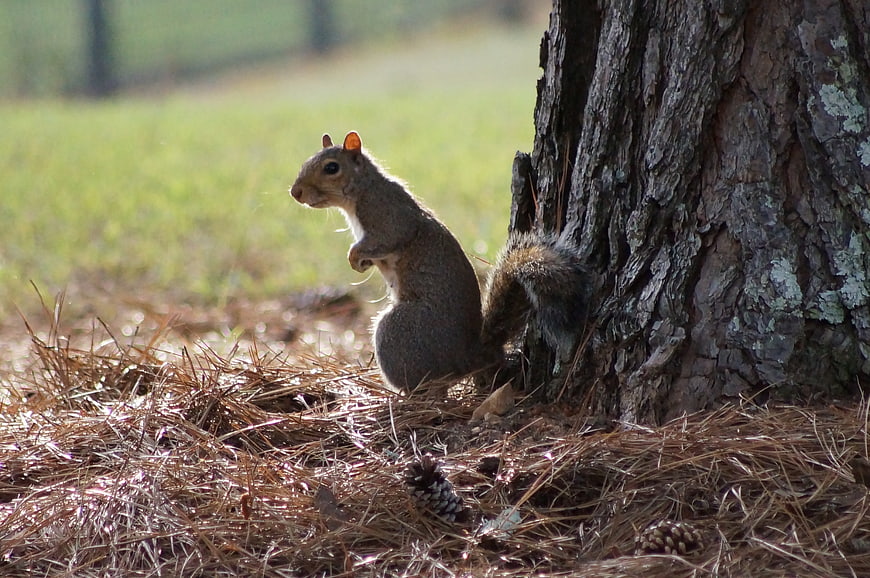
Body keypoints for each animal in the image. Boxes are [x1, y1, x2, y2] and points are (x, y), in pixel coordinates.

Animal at [290, 131, 590, 393]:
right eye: (306, 161)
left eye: (331, 168)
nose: (295, 193)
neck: (363, 189)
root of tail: (471, 355)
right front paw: (360, 263)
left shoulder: (388, 216)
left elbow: (387, 238)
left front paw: (354, 256)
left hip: (400, 330)